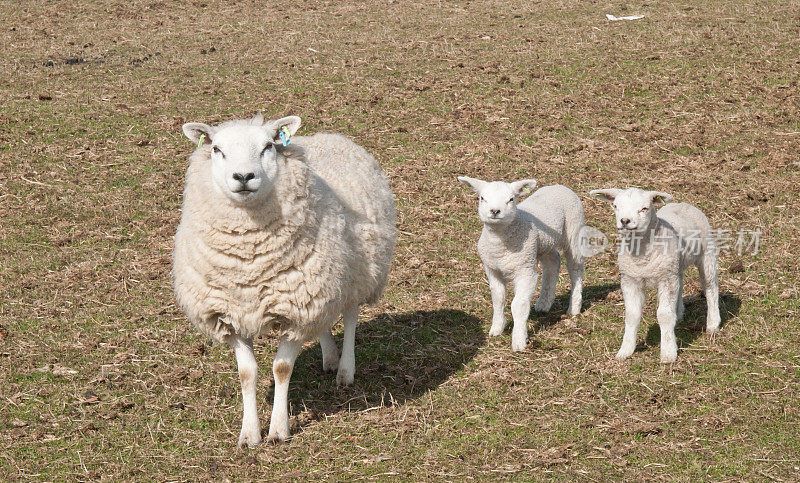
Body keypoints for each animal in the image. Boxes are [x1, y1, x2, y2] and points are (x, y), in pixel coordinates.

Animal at [176, 113, 400, 446]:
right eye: (216, 149)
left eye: (268, 146)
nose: (243, 176)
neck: (249, 261)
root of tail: (329, 136)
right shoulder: (230, 315)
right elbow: (247, 374)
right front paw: (249, 435)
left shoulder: (296, 312)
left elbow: (281, 369)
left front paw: (279, 430)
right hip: (320, 286)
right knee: (323, 322)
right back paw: (330, 357)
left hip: (358, 272)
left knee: (350, 316)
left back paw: (345, 370)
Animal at [460, 178, 584, 352]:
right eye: (482, 198)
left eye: (511, 199)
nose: (495, 211)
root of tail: (559, 186)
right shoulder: (492, 270)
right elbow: (498, 298)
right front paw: (497, 328)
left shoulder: (526, 271)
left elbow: (518, 305)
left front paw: (519, 341)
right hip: (542, 245)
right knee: (553, 261)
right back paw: (544, 303)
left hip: (574, 230)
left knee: (575, 269)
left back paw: (574, 308)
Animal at [592, 188, 720, 364]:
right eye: (615, 206)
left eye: (644, 208)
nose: (625, 221)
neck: (641, 257)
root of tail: (683, 204)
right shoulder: (630, 280)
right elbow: (632, 315)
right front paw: (625, 351)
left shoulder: (665, 278)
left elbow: (664, 315)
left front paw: (668, 353)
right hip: (675, 266)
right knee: (680, 284)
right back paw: (679, 313)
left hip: (706, 254)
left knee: (710, 286)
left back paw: (713, 324)